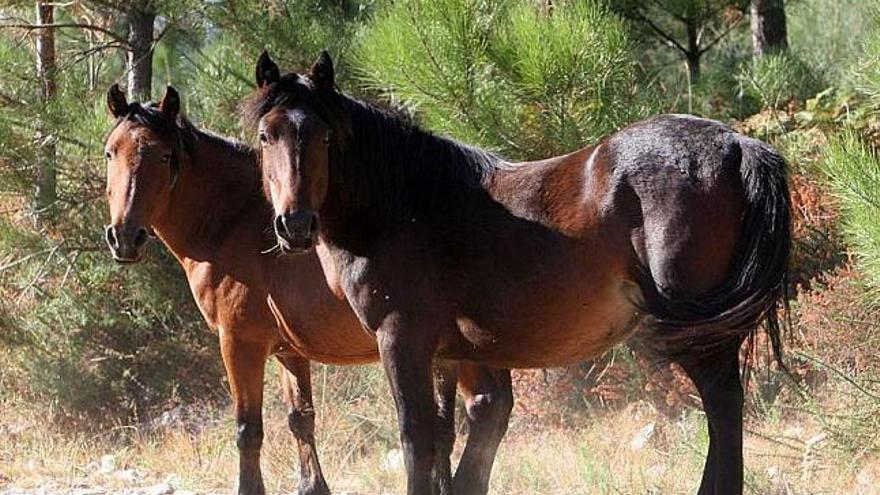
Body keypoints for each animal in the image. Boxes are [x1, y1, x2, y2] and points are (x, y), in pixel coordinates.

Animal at [101, 84, 516, 495]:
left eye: (164, 156)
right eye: (110, 151)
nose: (125, 237)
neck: (232, 220)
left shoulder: (239, 342)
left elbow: (248, 430)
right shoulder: (289, 351)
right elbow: (300, 419)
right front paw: (312, 486)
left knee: (483, 408)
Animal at [242, 51, 792, 495]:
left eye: (324, 136)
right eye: (266, 136)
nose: (294, 225)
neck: (408, 208)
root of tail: (736, 143)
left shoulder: (400, 339)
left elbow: (418, 439)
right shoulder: (456, 354)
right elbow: (456, 439)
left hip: (697, 331)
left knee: (723, 406)